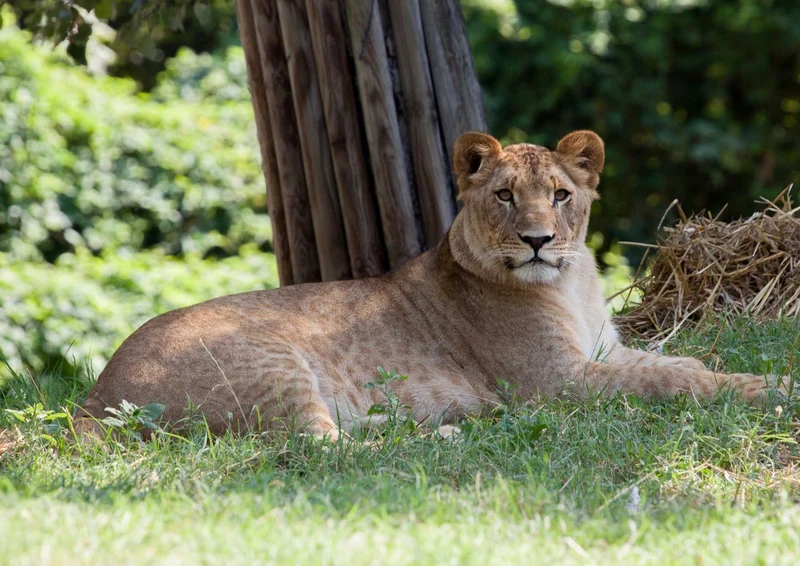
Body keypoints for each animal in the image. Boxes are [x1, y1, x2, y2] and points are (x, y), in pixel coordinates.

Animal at [76, 130, 776, 440]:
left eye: (560, 195)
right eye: (504, 196)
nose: (538, 240)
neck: (571, 283)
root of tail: (95, 395)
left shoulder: (603, 353)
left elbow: (676, 363)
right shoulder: (557, 383)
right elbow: (672, 382)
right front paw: (770, 389)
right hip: (274, 368)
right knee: (319, 452)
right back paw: (450, 432)